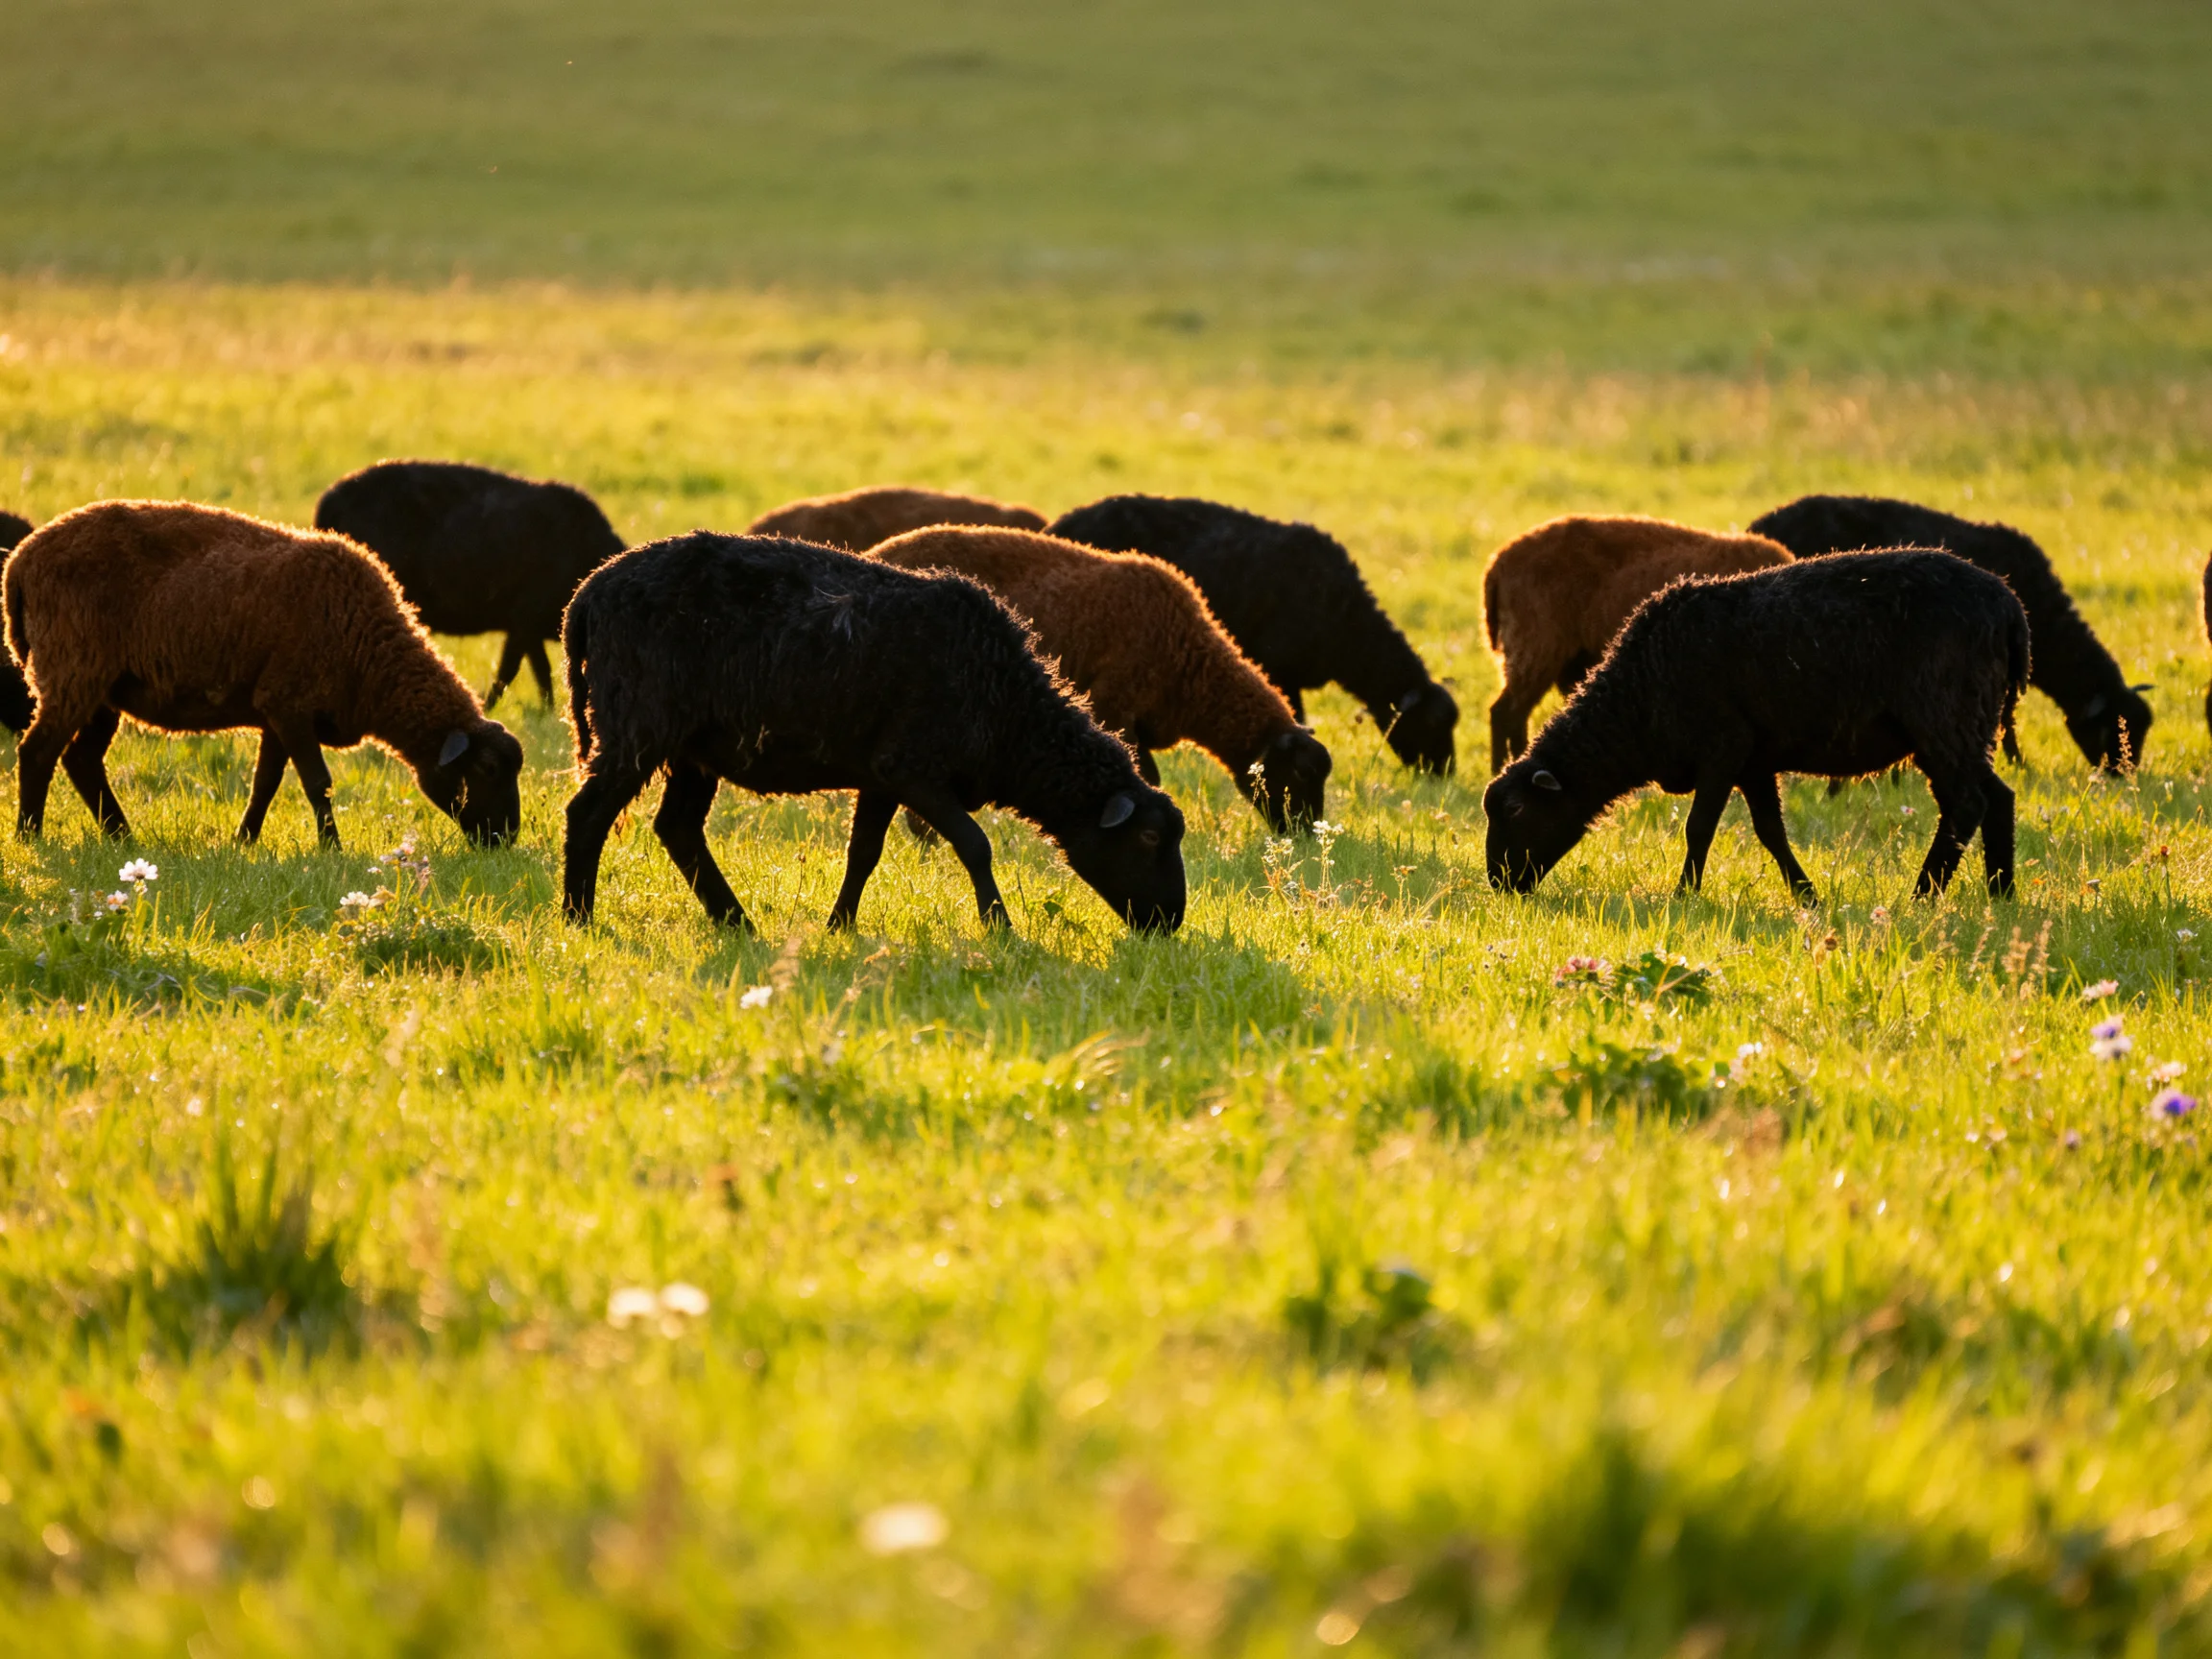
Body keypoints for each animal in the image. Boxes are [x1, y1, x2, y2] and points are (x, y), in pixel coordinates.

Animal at [5, 501, 524, 849]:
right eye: (487, 769)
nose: (506, 839)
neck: (367, 650)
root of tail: (20, 562)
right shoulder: (289, 704)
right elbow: (318, 782)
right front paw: (332, 849)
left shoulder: (279, 711)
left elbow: (266, 783)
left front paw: (244, 841)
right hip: (74, 671)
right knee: (38, 752)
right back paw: (30, 836)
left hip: (104, 690)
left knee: (81, 760)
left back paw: (122, 838)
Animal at [315, 460, 625, 711]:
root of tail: (329, 503)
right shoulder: (524, 621)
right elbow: (514, 670)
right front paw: (487, 706)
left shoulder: (527, 629)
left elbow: (538, 672)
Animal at [560, 532, 1186, 934]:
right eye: (1150, 837)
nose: (1171, 922)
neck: (1006, 706)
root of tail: (588, 593)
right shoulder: (914, 770)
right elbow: (975, 844)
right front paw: (1001, 928)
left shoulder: (882, 776)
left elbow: (863, 852)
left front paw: (839, 925)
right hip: (637, 725)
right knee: (588, 814)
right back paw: (578, 918)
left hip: (695, 748)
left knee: (678, 828)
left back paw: (737, 923)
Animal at [869, 526, 1332, 831]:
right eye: (1300, 774)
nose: (1306, 833)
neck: (1188, 657)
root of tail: (878, 551)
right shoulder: (1116, 709)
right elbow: (1146, 777)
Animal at [1484, 551, 2027, 902]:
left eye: (1515, 809)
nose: (1499, 883)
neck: (1638, 699)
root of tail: (2008, 605)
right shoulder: (1754, 761)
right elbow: (1771, 832)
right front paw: (1807, 896)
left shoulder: (1724, 747)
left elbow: (1698, 827)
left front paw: (1684, 894)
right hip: (1964, 725)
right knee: (1996, 797)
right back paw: (2001, 893)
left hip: (1943, 717)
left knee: (1967, 803)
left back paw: (1923, 895)